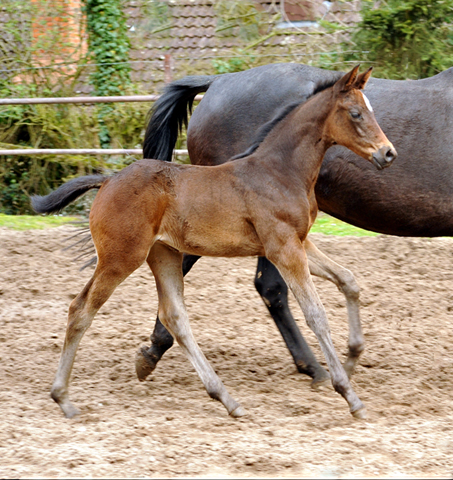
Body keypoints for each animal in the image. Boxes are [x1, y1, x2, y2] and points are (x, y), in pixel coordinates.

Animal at [31, 64, 396, 420]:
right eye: (355, 113)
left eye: (370, 110)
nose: (388, 153)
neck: (279, 171)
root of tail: (107, 181)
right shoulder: (284, 248)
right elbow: (316, 314)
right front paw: (348, 394)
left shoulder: (299, 242)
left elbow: (348, 279)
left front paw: (352, 358)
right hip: (120, 258)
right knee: (81, 310)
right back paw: (63, 398)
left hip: (163, 255)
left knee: (174, 317)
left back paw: (226, 398)